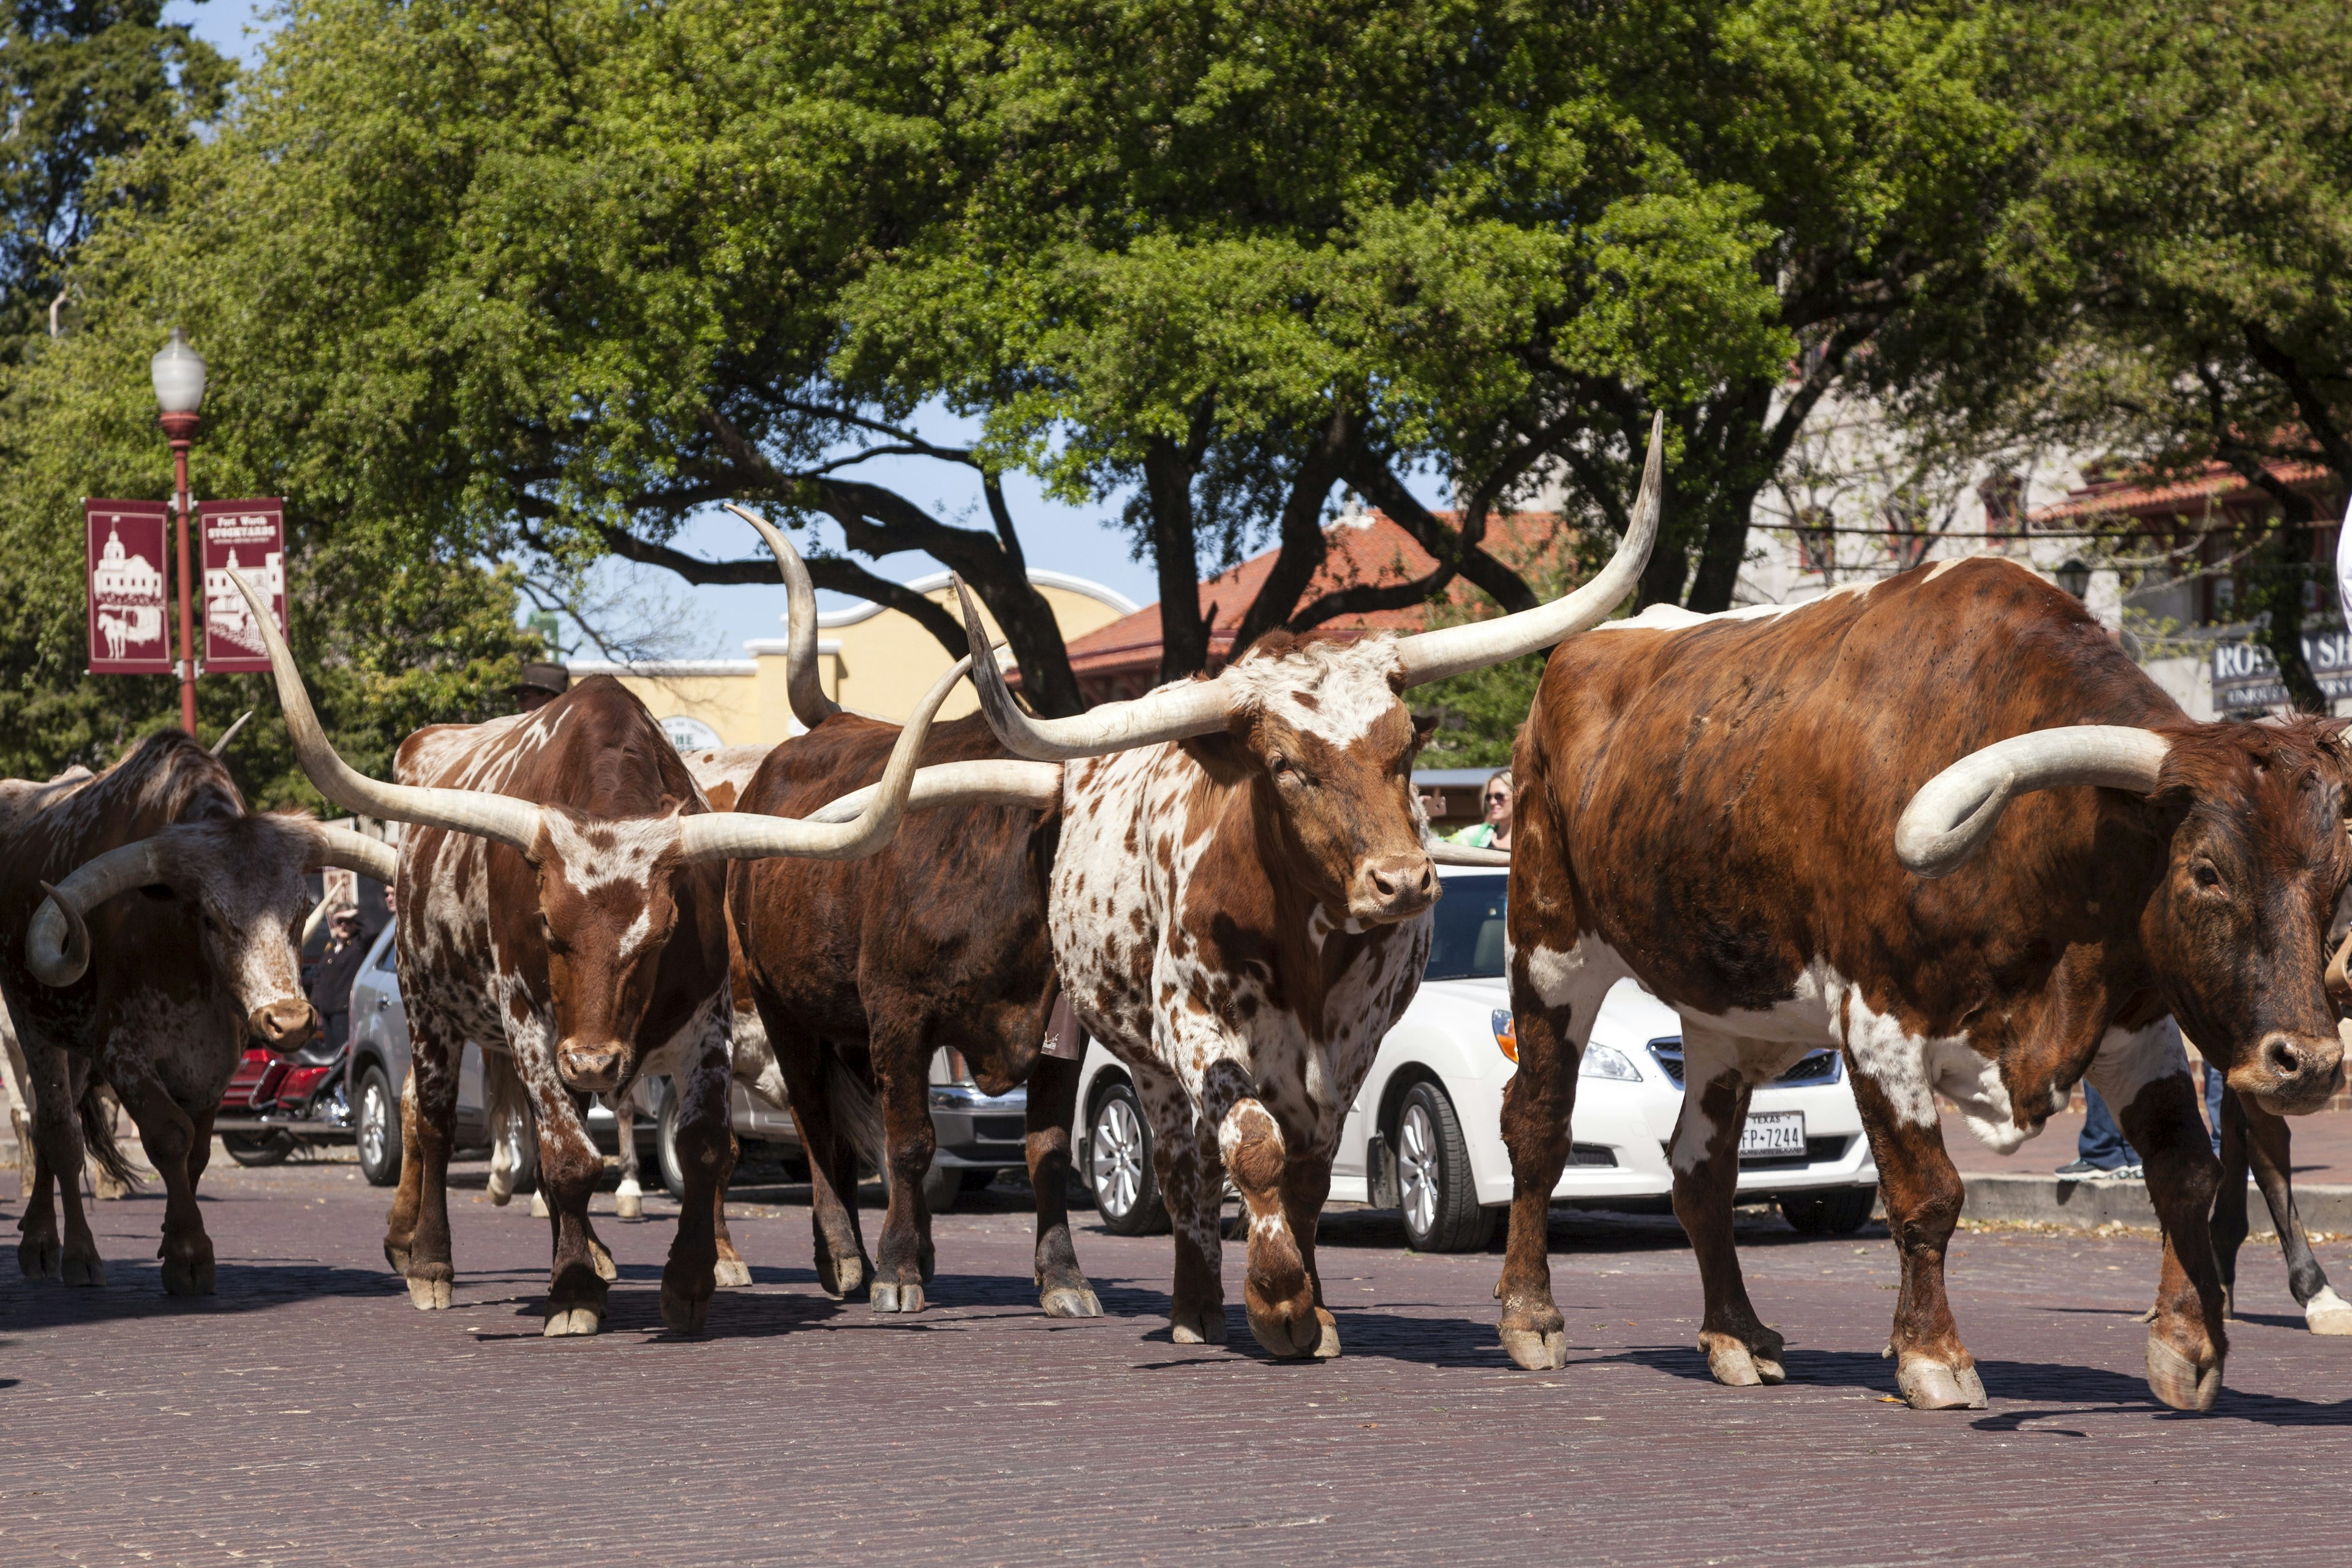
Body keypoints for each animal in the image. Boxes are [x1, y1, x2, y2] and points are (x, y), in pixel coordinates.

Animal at [1, 729, 394, 1294]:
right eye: (211, 918)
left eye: (301, 911)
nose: (290, 1020)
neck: (177, 943)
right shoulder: (123, 1053)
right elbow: (170, 1136)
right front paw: (189, 1252)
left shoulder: (213, 1060)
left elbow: (199, 1151)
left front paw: (172, 1239)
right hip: (33, 1027)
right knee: (58, 1130)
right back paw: (69, 1251)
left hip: (75, 1045)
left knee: (49, 1127)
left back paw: (38, 1238)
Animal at [229, 572, 961, 1336]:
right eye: (548, 926)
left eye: (664, 932)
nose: (593, 1060)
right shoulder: (529, 1021)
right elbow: (568, 1160)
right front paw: (574, 1291)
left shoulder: (707, 1022)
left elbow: (702, 1146)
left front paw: (686, 1280)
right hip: (429, 1005)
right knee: (432, 1120)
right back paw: (430, 1261)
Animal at [719, 508, 1097, 1317]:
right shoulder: (899, 1012)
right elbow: (911, 1142)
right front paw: (892, 1273)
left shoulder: (1062, 1035)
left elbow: (1047, 1150)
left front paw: (1064, 1277)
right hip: (784, 1006)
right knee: (817, 1123)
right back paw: (846, 1257)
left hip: (848, 1024)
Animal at [950, 426, 1658, 1357]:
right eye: (1286, 766)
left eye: (1404, 747)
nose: (1402, 882)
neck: (1299, 936)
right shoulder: (1193, 1023)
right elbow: (1252, 1148)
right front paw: (1277, 1300)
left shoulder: (1351, 1044)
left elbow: (1312, 1171)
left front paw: (1313, 1308)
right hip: (1144, 1060)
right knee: (1182, 1167)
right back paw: (1195, 1309)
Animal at [1488, 551, 2350, 1412]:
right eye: (2207, 871)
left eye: (2337, 876)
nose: (2308, 1064)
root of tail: (1578, 653)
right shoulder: (1878, 1018)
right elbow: (1929, 1192)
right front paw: (1934, 1355)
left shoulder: (2138, 1029)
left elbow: (2186, 1171)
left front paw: (2188, 1345)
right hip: (1549, 949)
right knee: (1539, 1125)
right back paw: (1531, 1317)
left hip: (1727, 1013)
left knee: (1703, 1172)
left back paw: (1737, 1335)